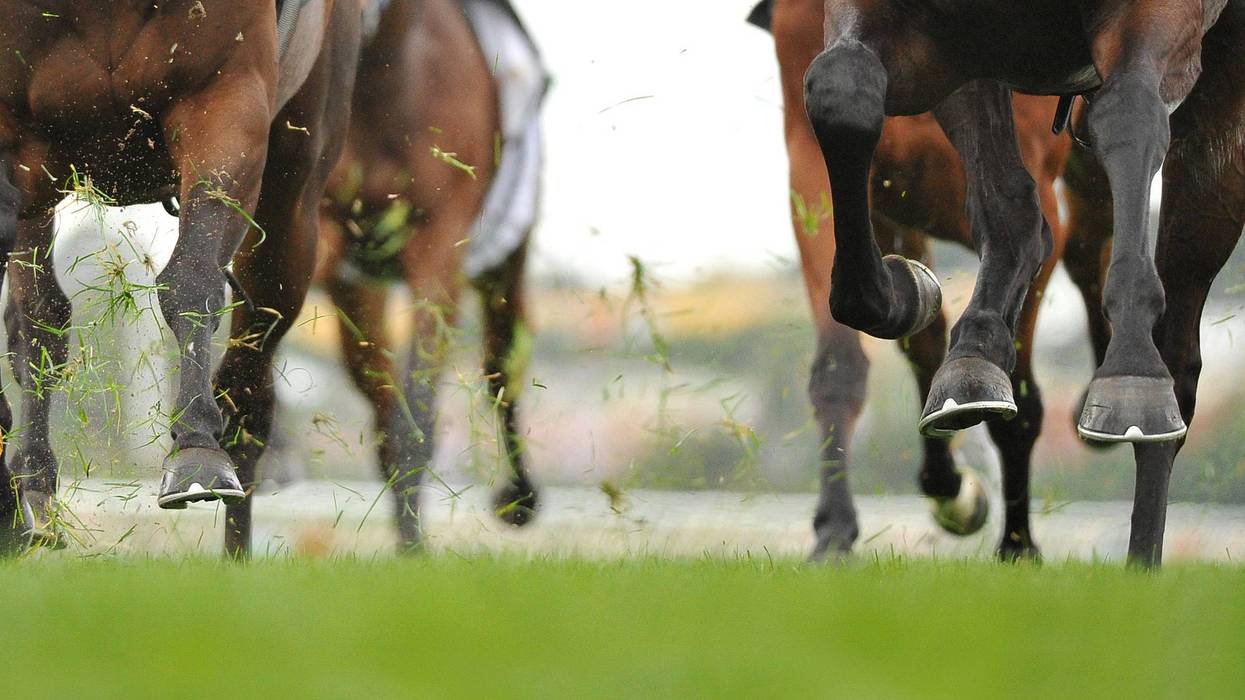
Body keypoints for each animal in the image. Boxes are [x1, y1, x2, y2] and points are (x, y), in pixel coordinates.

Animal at [0, 0, 361, 555]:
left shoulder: (224, 100)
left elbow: (190, 279)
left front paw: (195, 449)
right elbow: (39, 318)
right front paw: (21, 488)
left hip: (294, 198)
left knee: (251, 386)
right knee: (37, 321)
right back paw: (32, 488)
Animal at [306, 0, 547, 553]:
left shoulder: (440, 248)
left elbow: (419, 413)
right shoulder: (330, 232)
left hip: (506, 260)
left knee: (501, 363)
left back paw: (520, 497)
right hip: (363, 291)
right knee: (378, 389)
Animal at [754, 0, 1110, 561]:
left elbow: (1018, 391)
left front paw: (1018, 545)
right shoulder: (827, 171)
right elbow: (852, 353)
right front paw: (835, 530)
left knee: (1094, 243)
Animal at [801, 0, 1245, 566]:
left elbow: (1127, 113)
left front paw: (1131, 377)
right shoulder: (946, 41)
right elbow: (841, 87)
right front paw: (913, 298)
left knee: (1181, 353)